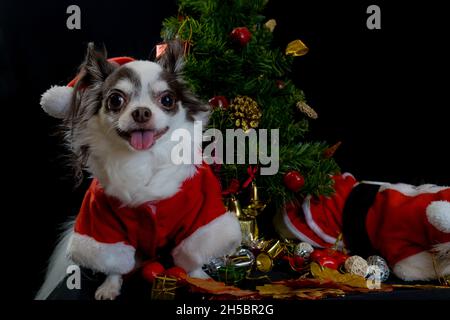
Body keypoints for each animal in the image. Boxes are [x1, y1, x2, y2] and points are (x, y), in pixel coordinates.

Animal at [37, 40, 243, 300]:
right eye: (115, 100)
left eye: (167, 100)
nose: (142, 112)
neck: (143, 159)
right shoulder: (102, 222)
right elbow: (113, 262)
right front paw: (110, 285)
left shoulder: (200, 213)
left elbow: (195, 251)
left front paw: (200, 279)